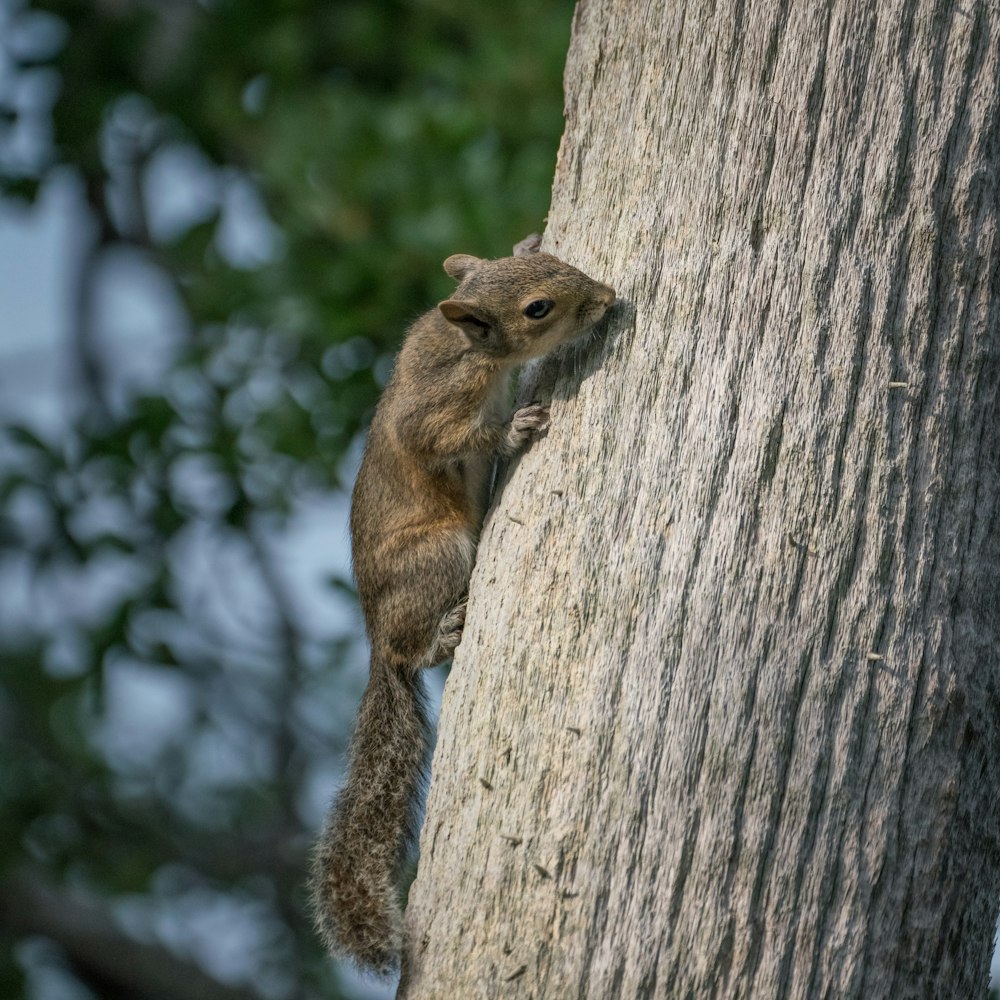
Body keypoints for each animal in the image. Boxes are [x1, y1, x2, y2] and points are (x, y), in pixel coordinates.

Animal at [308, 236, 612, 976]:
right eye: (539, 309)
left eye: (559, 262)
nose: (608, 299)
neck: (470, 348)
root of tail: (377, 640)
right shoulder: (436, 405)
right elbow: (445, 439)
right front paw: (512, 429)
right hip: (442, 553)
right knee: (415, 646)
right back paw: (442, 633)